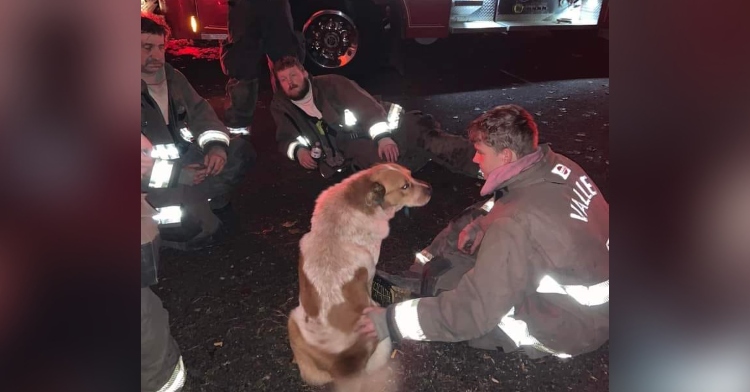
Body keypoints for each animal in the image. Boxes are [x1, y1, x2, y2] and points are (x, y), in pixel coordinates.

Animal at [288, 163, 434, 392]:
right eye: (405, 186)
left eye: (411, 175)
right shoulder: (370, 269)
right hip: (381, 335)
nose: (430, 189)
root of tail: (342, 367)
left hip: (293, 319)